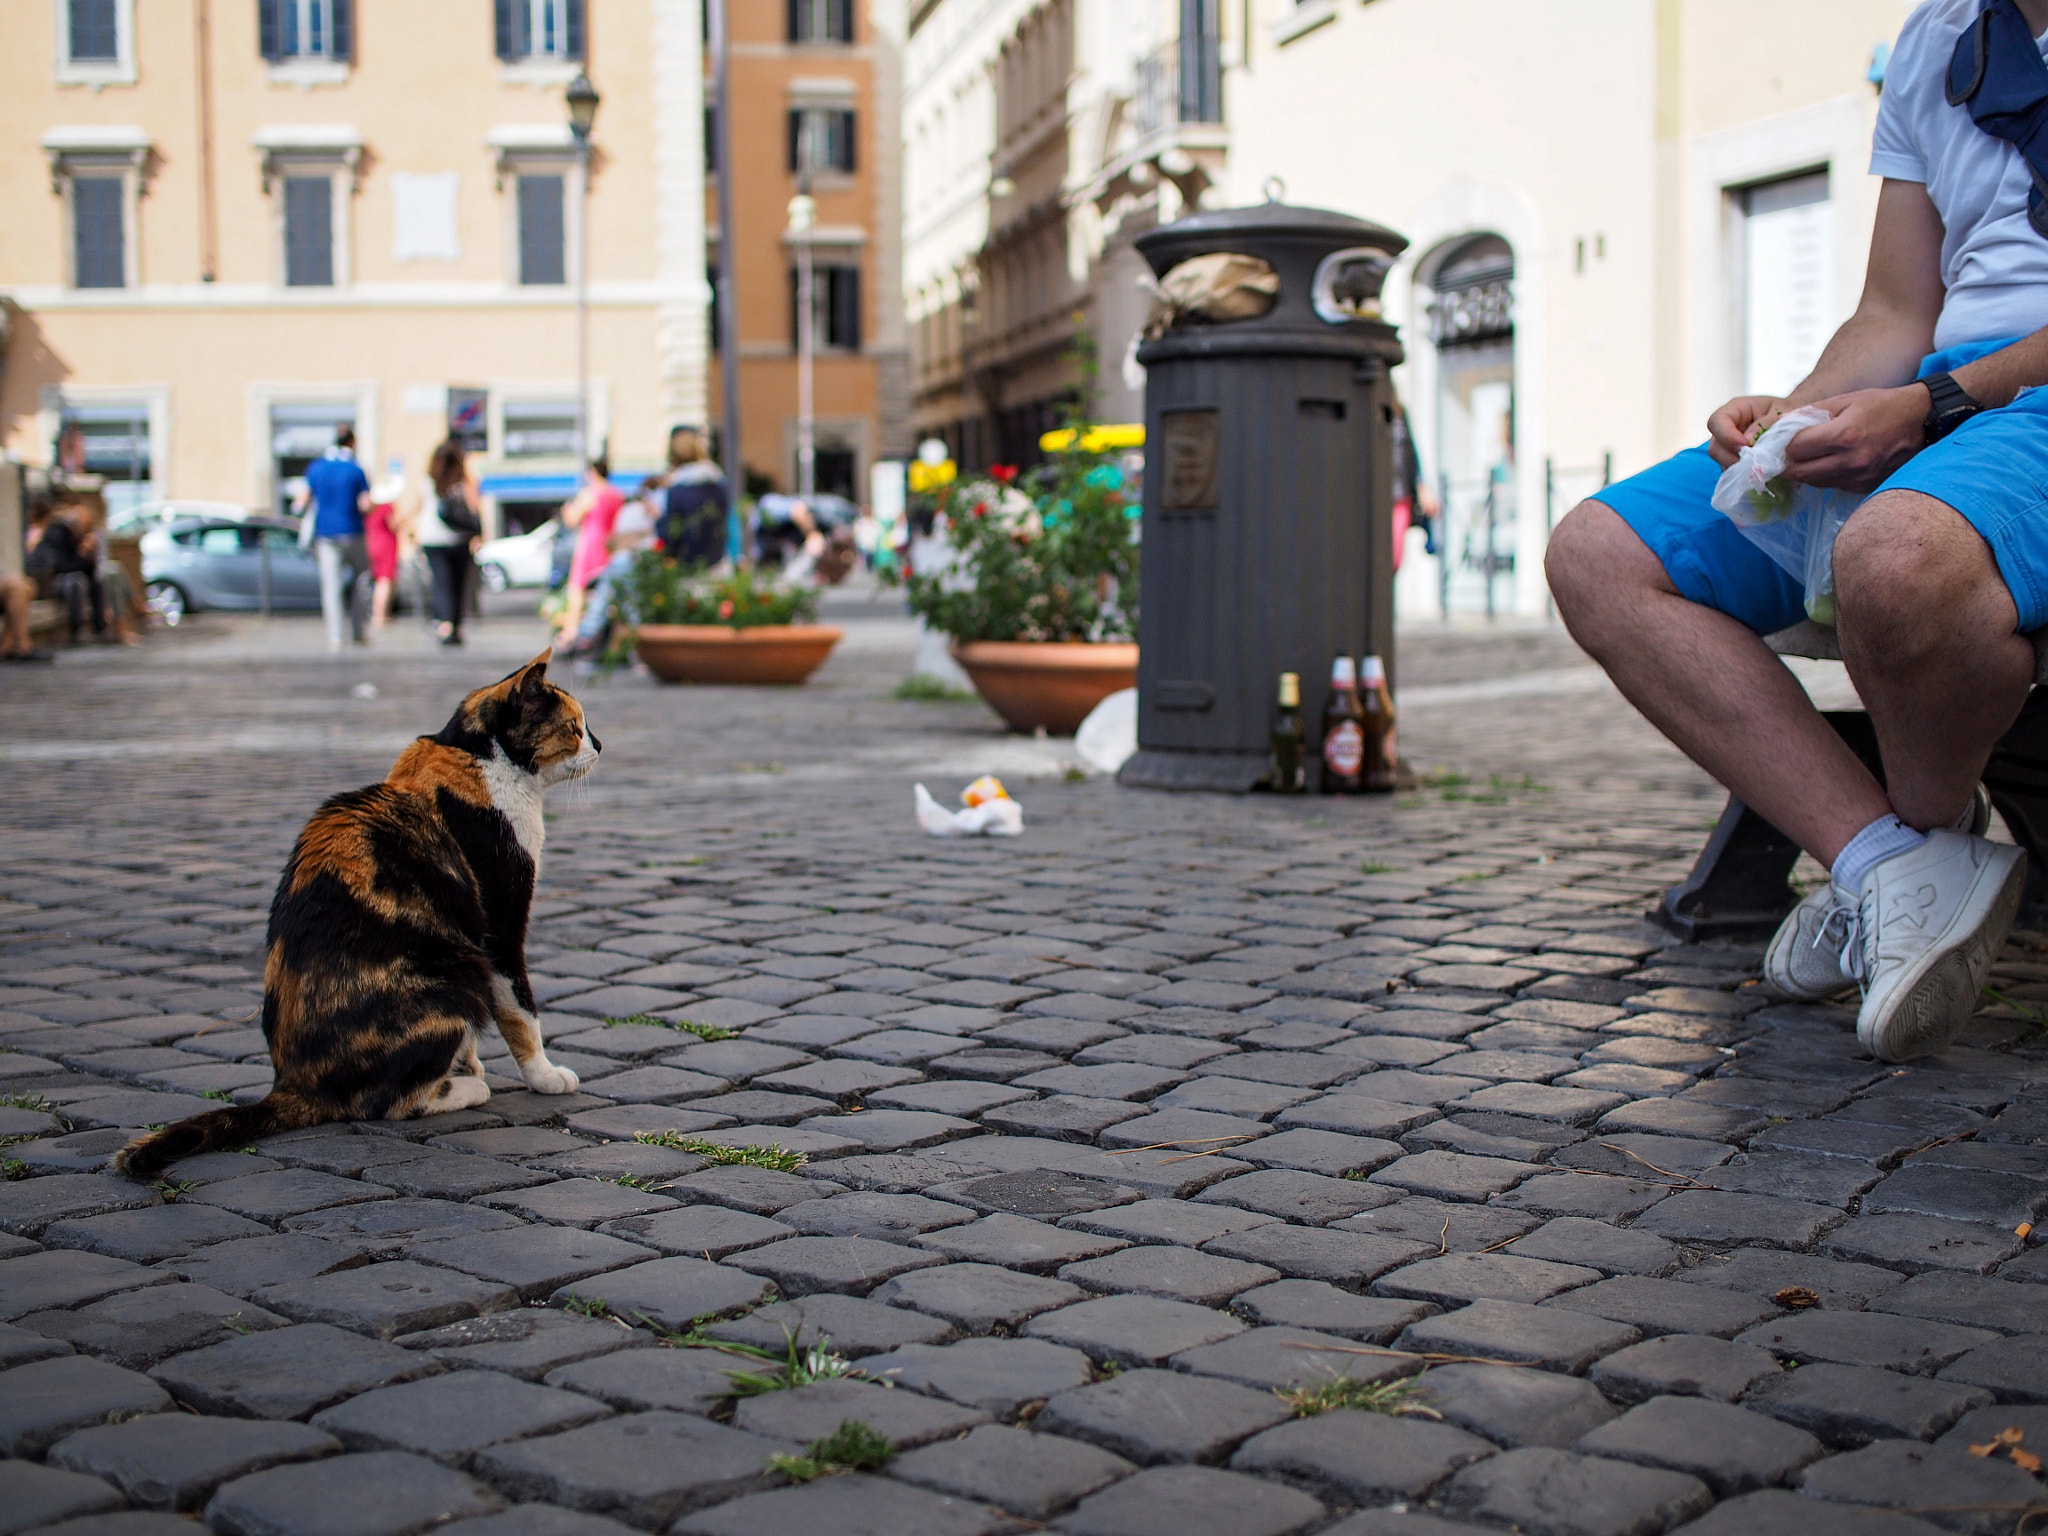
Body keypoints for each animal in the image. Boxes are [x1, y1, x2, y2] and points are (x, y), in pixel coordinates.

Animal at [113, 651, 598, 1179]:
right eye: (573, 726)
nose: (598, 744)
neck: (475, 756)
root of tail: (295, 1083)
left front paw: (468, 1062)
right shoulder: (498, 929)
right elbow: (520, 1011)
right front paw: (544, 1076)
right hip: (457, 976)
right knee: (389, 1104)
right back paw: (467, 1090)